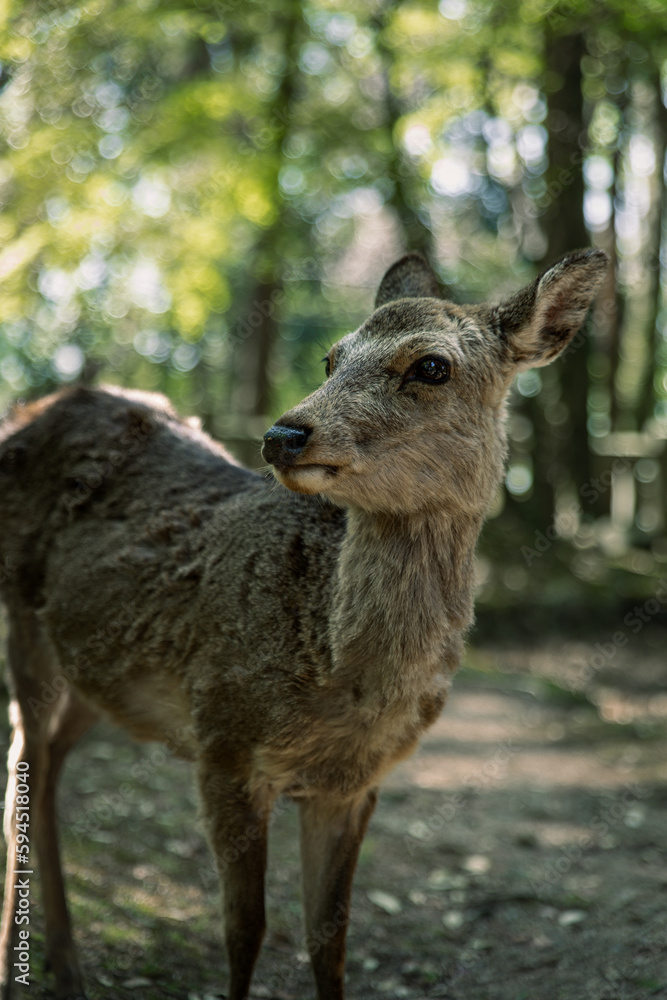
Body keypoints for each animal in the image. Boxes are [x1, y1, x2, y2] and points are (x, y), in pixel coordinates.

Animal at [0, 244, 608, 1000]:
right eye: (330, 358)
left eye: (431, 366)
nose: (283, 434)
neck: (335, 680)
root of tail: (30, 409)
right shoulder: (223, 740)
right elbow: (245, 930)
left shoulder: (354, 782)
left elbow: (330, 937)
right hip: (20, 615)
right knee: (22, 761)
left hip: (92, 664)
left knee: (48, 759)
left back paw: (63, 961)